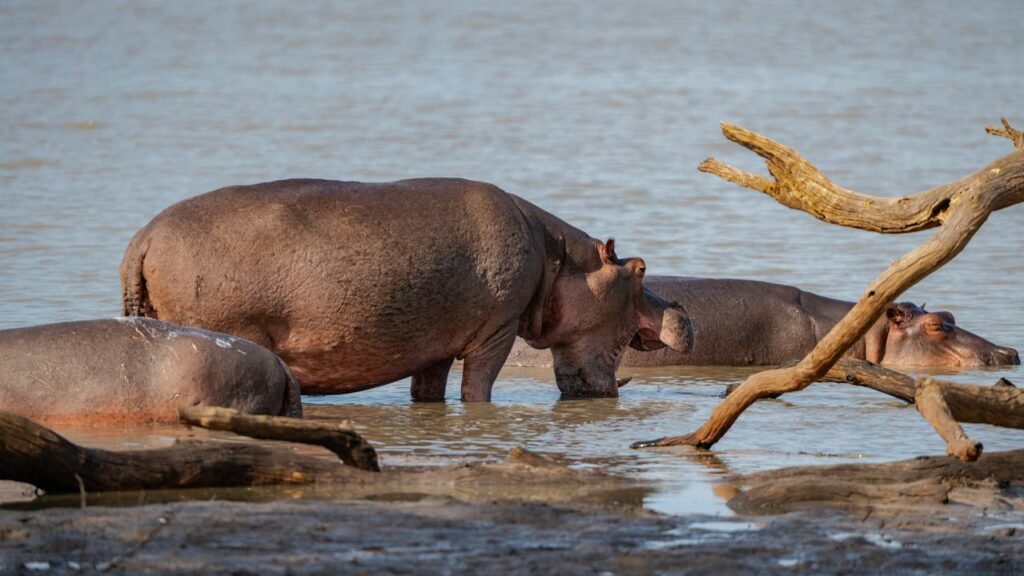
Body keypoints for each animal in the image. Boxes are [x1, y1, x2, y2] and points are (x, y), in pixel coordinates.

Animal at [120, 178, 693, 401]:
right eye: (640, 269)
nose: (682, 308)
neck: (559, 258)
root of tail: (141, 240)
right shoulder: (497, 331)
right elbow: (478, 390)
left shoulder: (434, 345)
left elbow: (428, 392)